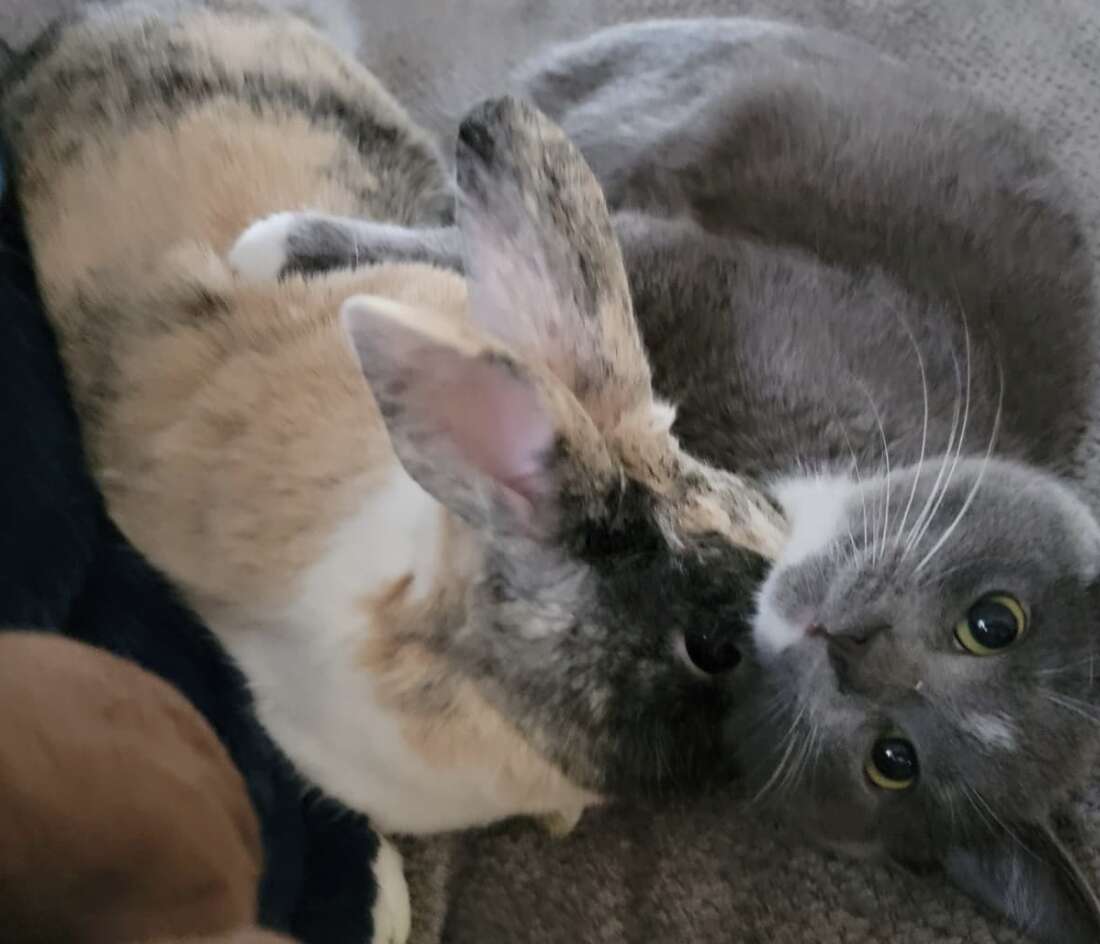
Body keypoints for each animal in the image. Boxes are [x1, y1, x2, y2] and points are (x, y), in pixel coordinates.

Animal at [229, 14, 1100, 941]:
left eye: (893, 760)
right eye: (994, 621)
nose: (853, 646)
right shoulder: (707, 269)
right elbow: (522, 261)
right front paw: (280, 248)